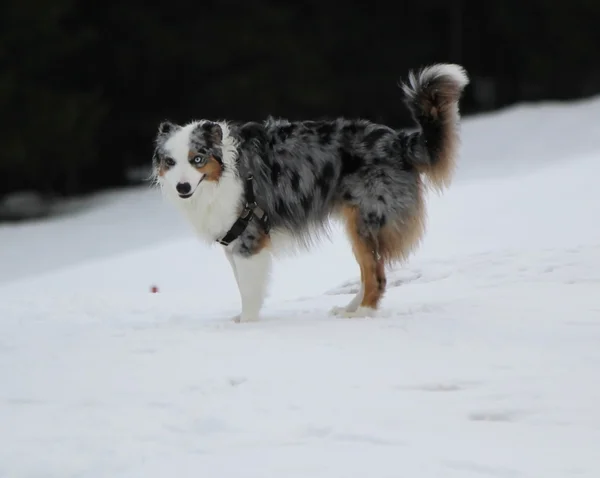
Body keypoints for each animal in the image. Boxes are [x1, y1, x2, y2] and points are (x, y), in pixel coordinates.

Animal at [150, 62, 468, 322]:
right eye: (170, 162)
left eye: (197, 159)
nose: (182, 187)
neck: (224, 174)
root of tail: (399, 141)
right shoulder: (233, 241)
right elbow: (242, 287)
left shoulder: (249, 239)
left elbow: (250, 292)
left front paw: (246, 326)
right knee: (372, 272)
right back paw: (349, 308)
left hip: (365, 220)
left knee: (376, 276)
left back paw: (361, 313)